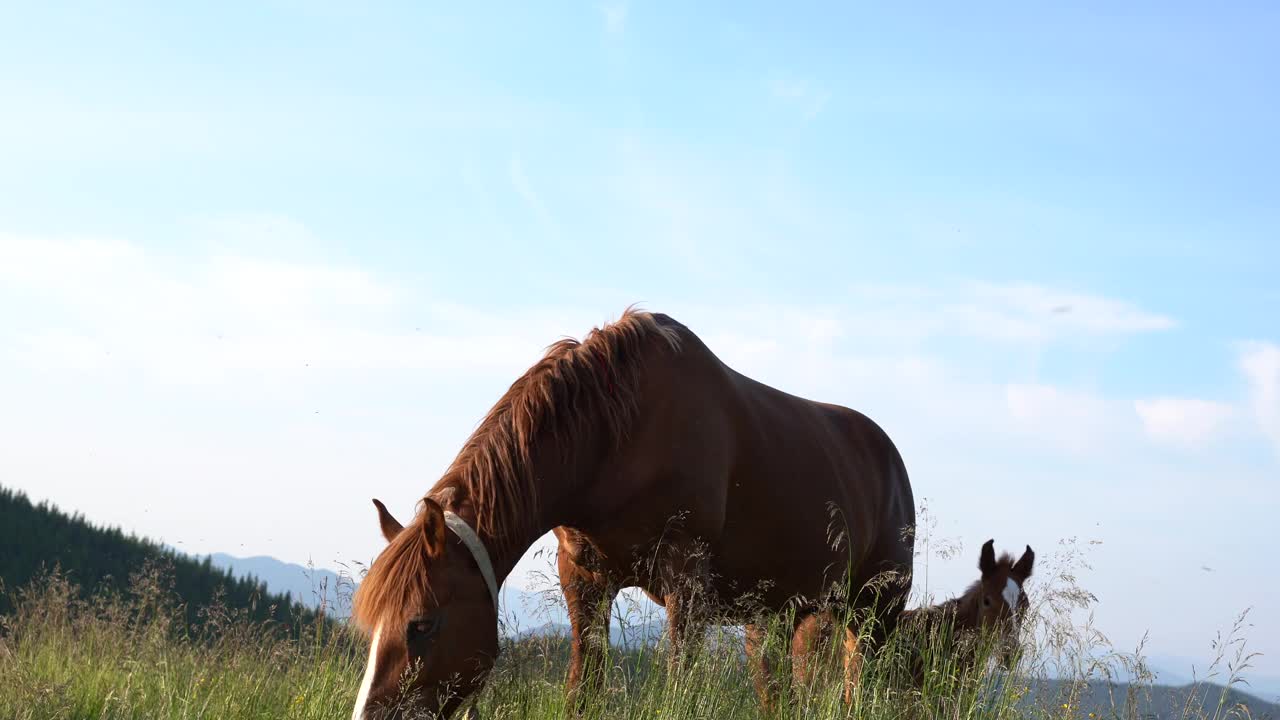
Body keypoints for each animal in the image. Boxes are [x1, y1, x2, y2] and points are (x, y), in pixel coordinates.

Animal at [345, 304, 916, 712]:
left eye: (422, 624)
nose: (369, 715)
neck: (615, 434)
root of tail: (892, 458)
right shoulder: (584, 579)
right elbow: (583, 690)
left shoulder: (686, 579)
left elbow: (677, 685)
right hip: (779, 617)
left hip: (875, 615)